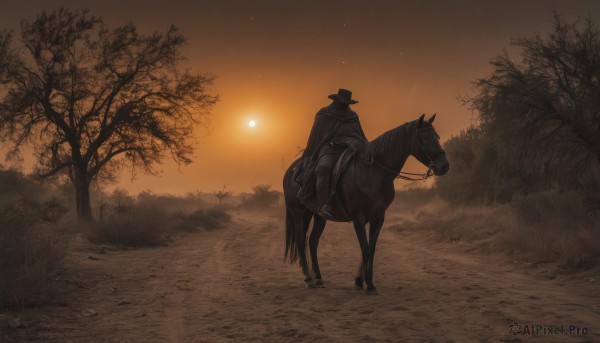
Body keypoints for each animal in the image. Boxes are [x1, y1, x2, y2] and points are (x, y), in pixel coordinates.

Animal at [284, 113, 448, 296]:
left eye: (437, 136)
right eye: (425, 137)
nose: (444, 166)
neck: (373, 173)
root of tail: (292, 170)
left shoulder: (378, 217)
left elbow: (371, 248)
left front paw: (360, 281)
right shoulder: (358, 218)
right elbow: (365, 248)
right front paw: (369, 285)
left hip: (317, 215)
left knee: (312, 242)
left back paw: (319, 278)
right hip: (297, 212)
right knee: (300, 242)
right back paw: (309, 279)